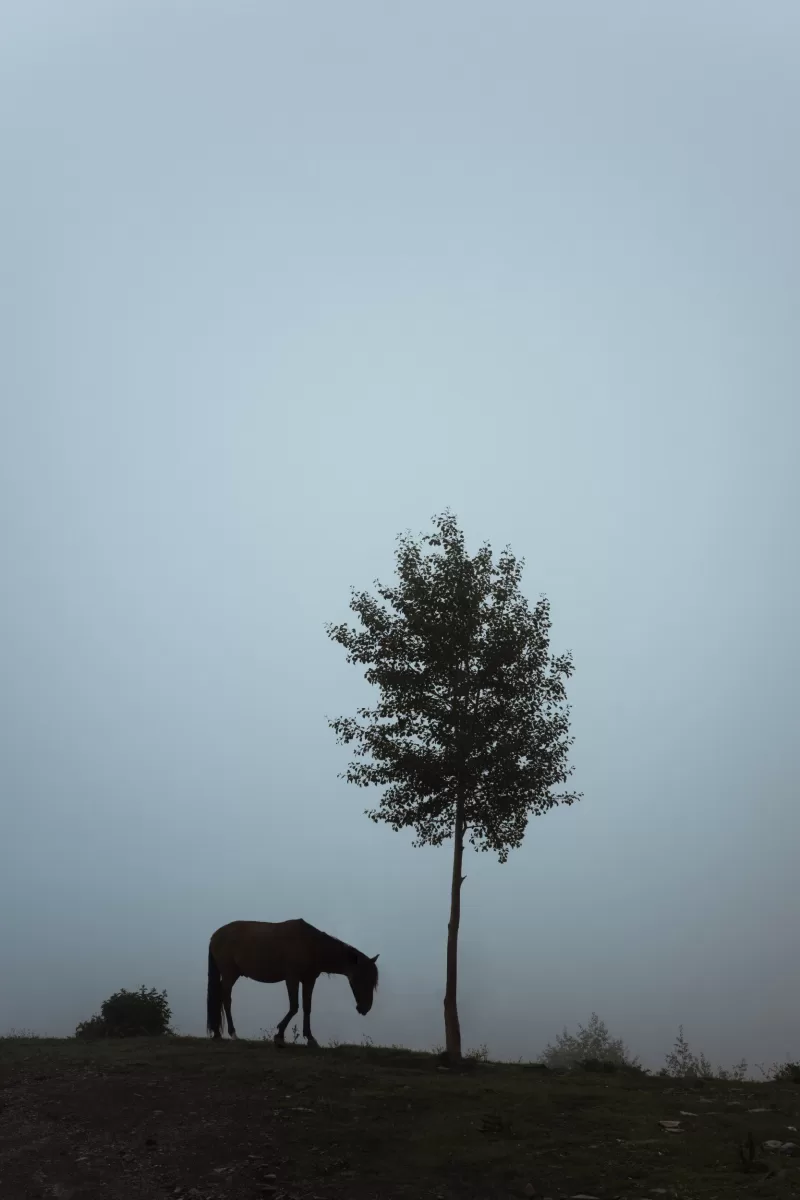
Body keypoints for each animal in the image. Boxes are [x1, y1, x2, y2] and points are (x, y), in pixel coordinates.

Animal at [206, 918, 379, 1046]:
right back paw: (232, 1033)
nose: (365, 1008)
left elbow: (307, 1008)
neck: (312, 945)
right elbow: (294, 1006)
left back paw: (217, 1032)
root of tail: (215, 936)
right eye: (362, 978)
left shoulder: (309, 980)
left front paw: (310, 1038)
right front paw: (279, 1034)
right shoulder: (292, 978)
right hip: (229, 974)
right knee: (226, 999)